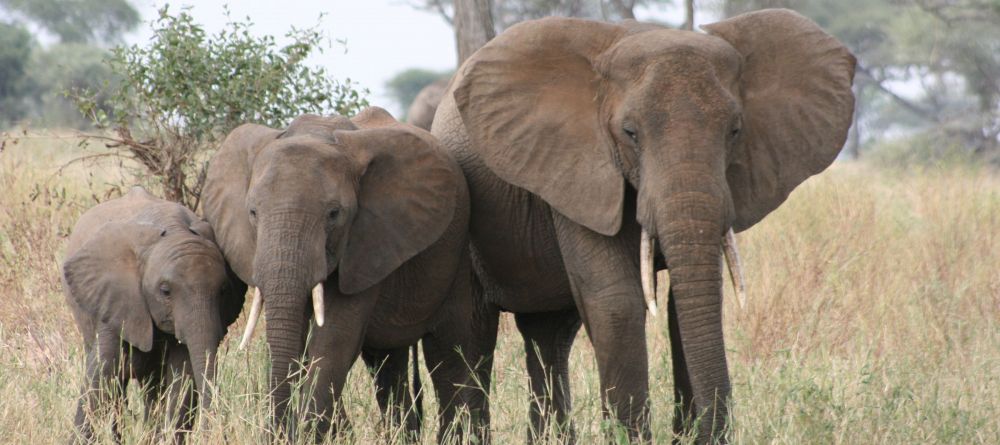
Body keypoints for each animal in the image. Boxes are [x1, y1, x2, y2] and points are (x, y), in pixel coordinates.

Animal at [62, 186, 246, 443]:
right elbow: (101, 373)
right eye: (165, 291)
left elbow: (182, 379)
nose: (218, 434)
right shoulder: (116, 297)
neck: (172, 229)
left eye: (223, 291)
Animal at [202, 106, 495, 441]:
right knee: (388, 365)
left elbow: (333, 341)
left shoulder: (367, 243)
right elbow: (299, 340)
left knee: (450, 355)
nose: (275, 434)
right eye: (252, 213)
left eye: (334, 214)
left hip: (458, 255)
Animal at [431, 9, 856, 443]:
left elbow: (685, 305)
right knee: (470, 336)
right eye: (630, 133)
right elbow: (616, 303)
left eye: (735, 130)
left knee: (547, 335)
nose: (702, 431)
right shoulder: (580, 168)